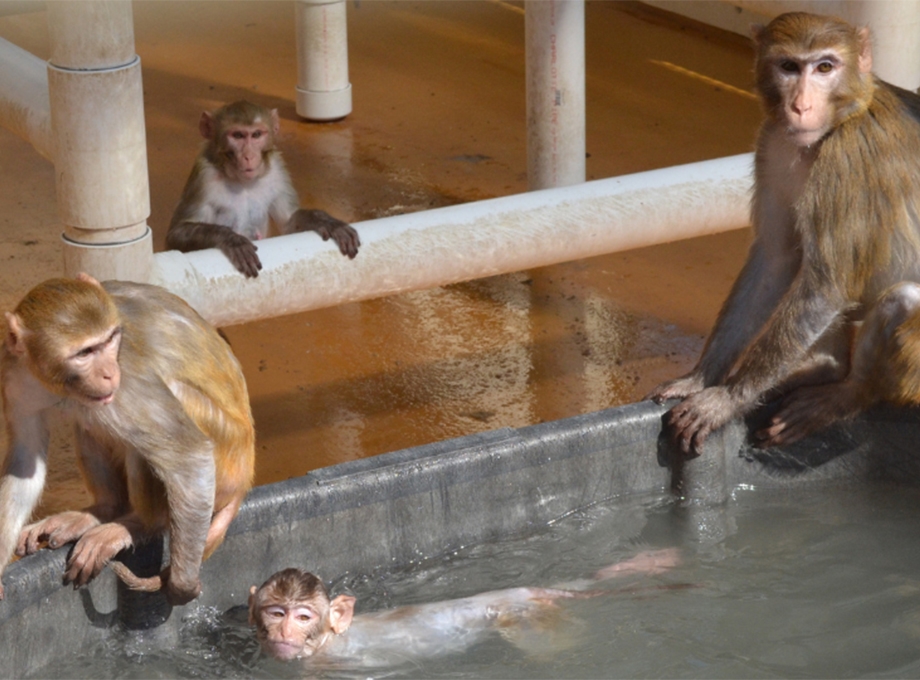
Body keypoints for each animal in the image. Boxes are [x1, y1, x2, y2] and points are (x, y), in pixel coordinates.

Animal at [0, 275, 255, 605]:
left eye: (110, 340)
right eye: (85, 352)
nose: (109, 373)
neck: (57, 383)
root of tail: (246, 473)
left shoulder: (128, 382)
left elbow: (190, 455)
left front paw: (182, 584)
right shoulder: (15, 375)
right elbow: (24, 462)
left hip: (227, 459)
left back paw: (138, 524)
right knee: (87, 419)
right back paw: (104, 510)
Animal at [166, 100, 360, 278]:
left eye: (257, 134)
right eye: (237, 135)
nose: (249, 156)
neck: (242, 182)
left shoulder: (277, 169)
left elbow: (289, 221)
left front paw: (326, 221)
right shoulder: (204, 176)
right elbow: (175, 235)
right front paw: (232, 239)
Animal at [247, 549, 682, 665]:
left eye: (303, 616)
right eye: (276, 613)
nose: (284, 630)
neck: (327, 642)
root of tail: (525, 591)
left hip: (523, 615)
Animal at [647, 12, 920, 456]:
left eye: (825, 67)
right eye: (790, 66)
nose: (800, 105)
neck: (843, 117)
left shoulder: (844, 158)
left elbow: (826, 287)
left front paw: (726, 400)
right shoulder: (773, 142)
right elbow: (776, 258)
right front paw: (701, 379)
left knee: (902, 297)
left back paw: (847, 392)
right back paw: (825, 369)